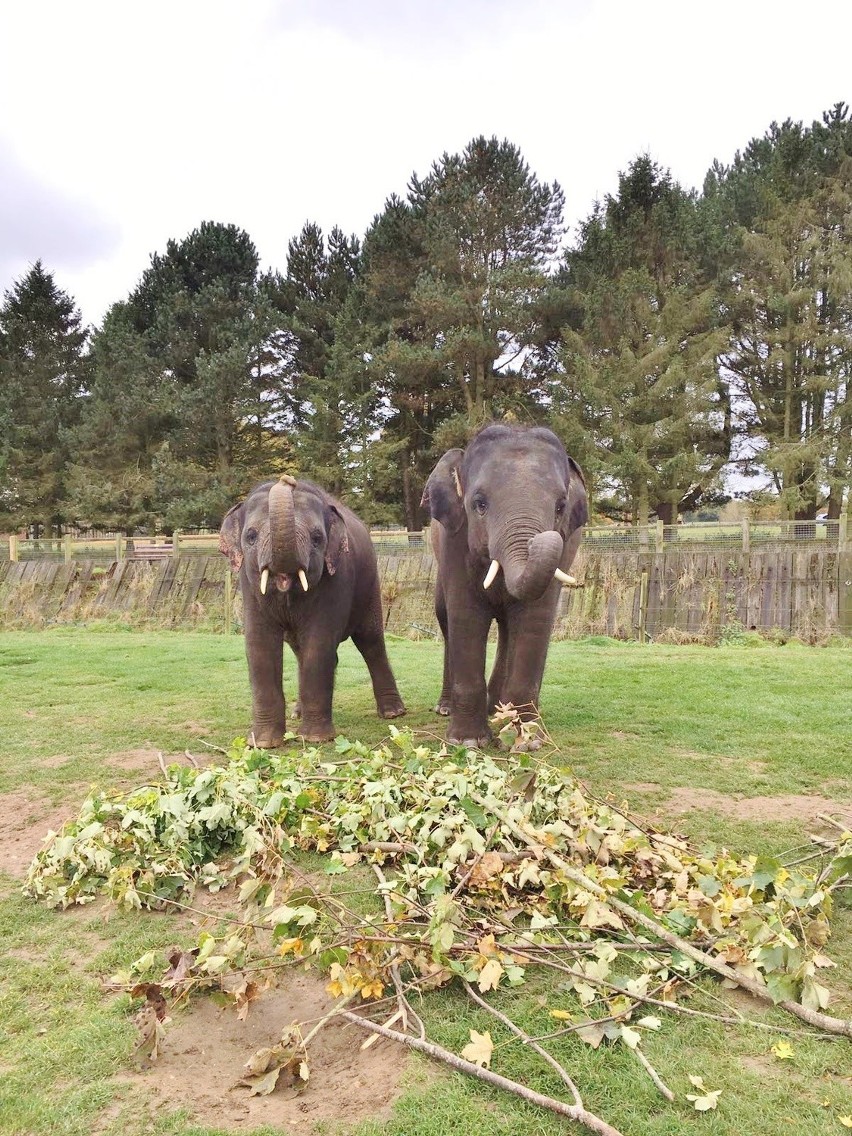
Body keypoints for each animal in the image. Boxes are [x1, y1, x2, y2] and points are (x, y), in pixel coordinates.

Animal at [220, 474, 406, 749]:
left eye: (317, 538)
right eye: (251, 536)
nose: (287, 479)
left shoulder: (337, 577)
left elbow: (319, 643)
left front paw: (316, 739)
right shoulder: (248, 585)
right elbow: (259, 645)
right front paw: (263, 744)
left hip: (371, 585)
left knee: (371, 642)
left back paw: (393, 712)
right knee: (300, 650)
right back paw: (297, 713)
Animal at [424, 422, 590, 749]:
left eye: (561, 507)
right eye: (479, 504)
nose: (543, 537)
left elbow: (536, 616)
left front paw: (526, 742)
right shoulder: (454, 540)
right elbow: (466, 614)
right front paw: (467, 742)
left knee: (507, 628)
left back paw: (497, 709)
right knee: (447, 621)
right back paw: (447, 708)